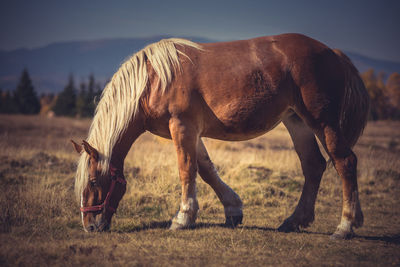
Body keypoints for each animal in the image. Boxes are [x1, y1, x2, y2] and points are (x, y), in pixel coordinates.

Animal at [71, 33, 368, 241]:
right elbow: (206, 170)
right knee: (313, 165)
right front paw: (233, 210)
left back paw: (345, 226)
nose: (89, 227)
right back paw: (294, 221)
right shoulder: (191, 132)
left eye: (94, 181)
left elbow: (187, 169)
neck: (153, 80)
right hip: (297, 121)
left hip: (322, 121)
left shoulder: (182, 126)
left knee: (345, 162)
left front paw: (183, 218)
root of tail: (333, 53)